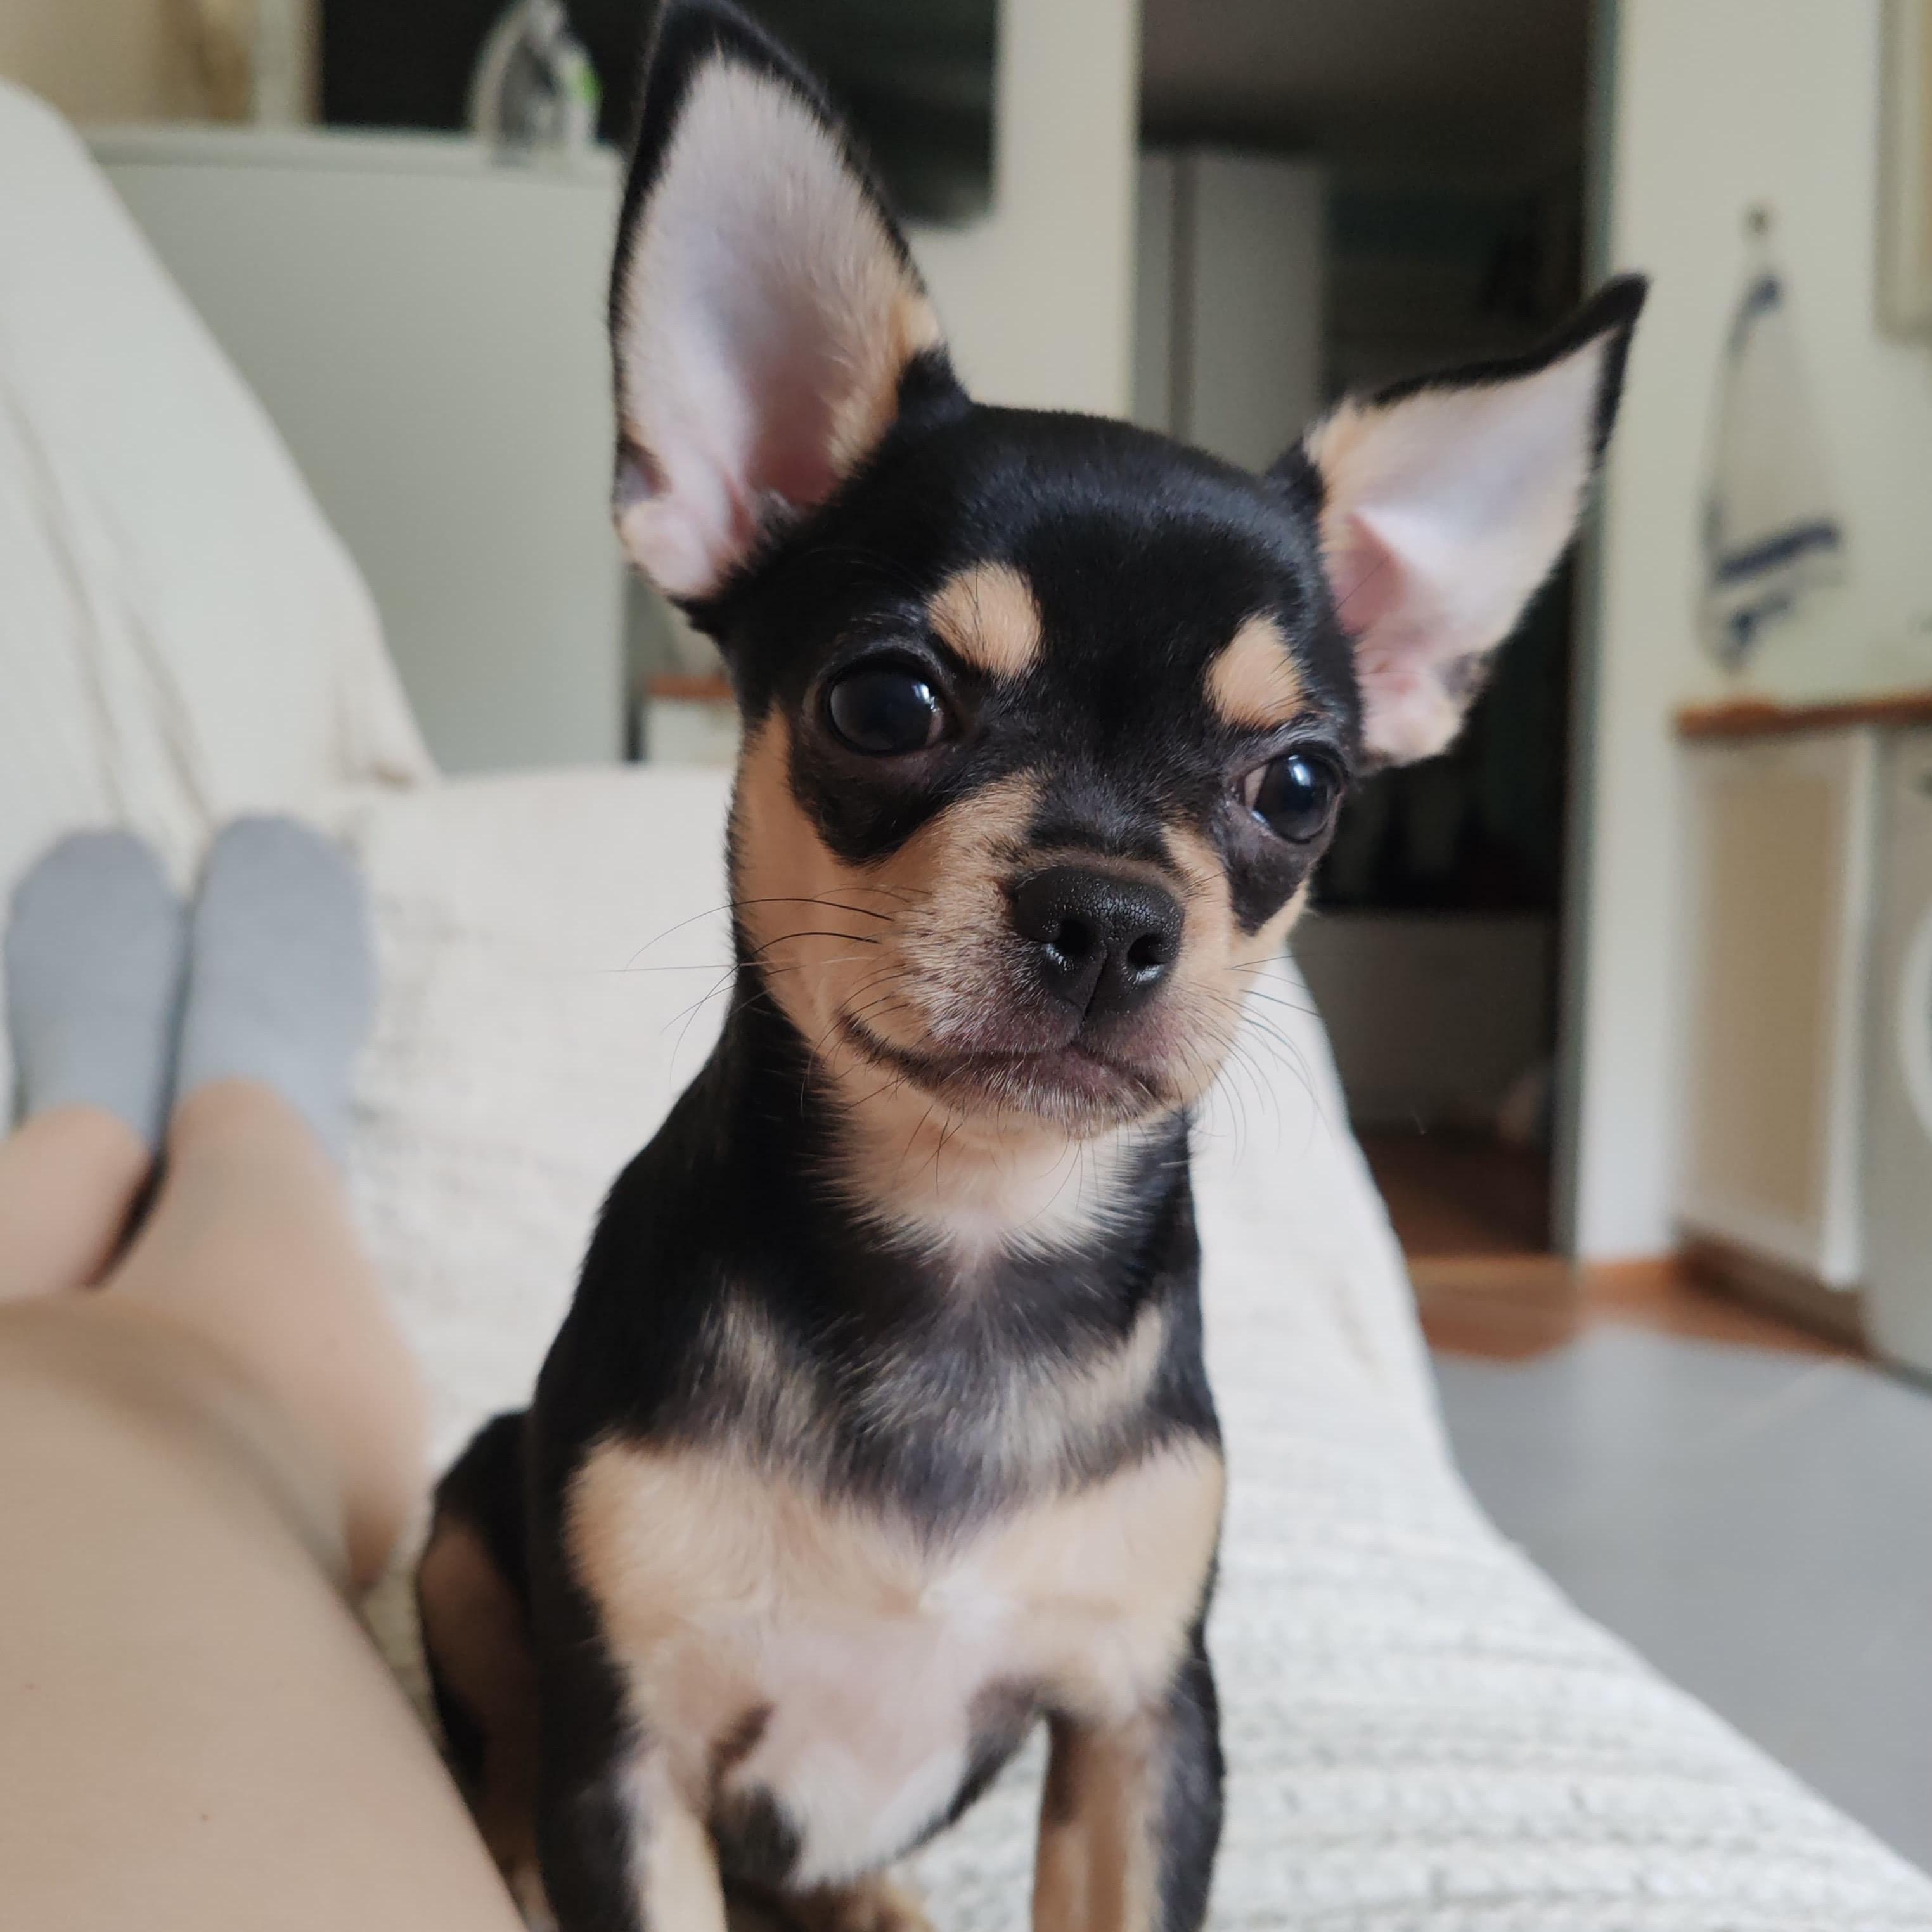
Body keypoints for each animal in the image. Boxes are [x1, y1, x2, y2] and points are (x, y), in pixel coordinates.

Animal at [416, 5, 1644, 1927]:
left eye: (1301, 786)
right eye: (886, 700)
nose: (1111, 911)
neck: (969, 1244)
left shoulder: (1142, 1722)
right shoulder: (631, 1756)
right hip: (471, 1518)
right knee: (494, 1747)